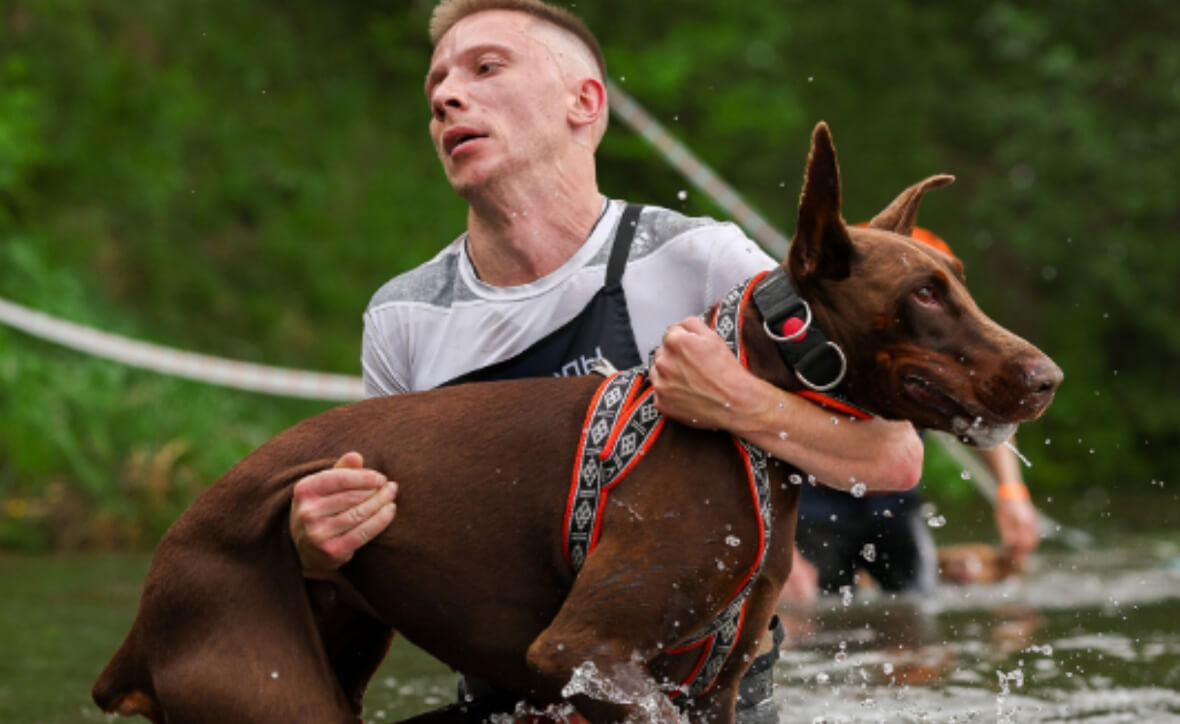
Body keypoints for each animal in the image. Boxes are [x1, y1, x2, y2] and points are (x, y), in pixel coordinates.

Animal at [92, 123, 1061, 724]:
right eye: (924, 293)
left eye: (954, 279)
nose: (1047, 378)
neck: (749, 436)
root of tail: (144, 611)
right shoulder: (580, 650)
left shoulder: (713, 684)